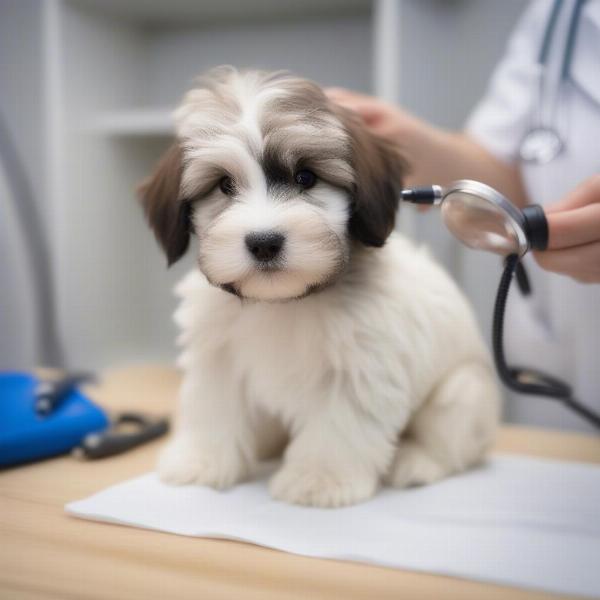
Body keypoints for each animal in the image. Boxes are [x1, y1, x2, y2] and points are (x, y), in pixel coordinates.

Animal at [138, 68, 500, 508]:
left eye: (306, 177)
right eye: (224, 185)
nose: (264, 242)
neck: (283, 301)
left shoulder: (361, 367)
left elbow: (338, 426)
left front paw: (320, 479)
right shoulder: (217, 357)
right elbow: (214, 407)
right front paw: (200, 461)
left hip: (465, 390)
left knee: (452, 437)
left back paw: (417, 462)